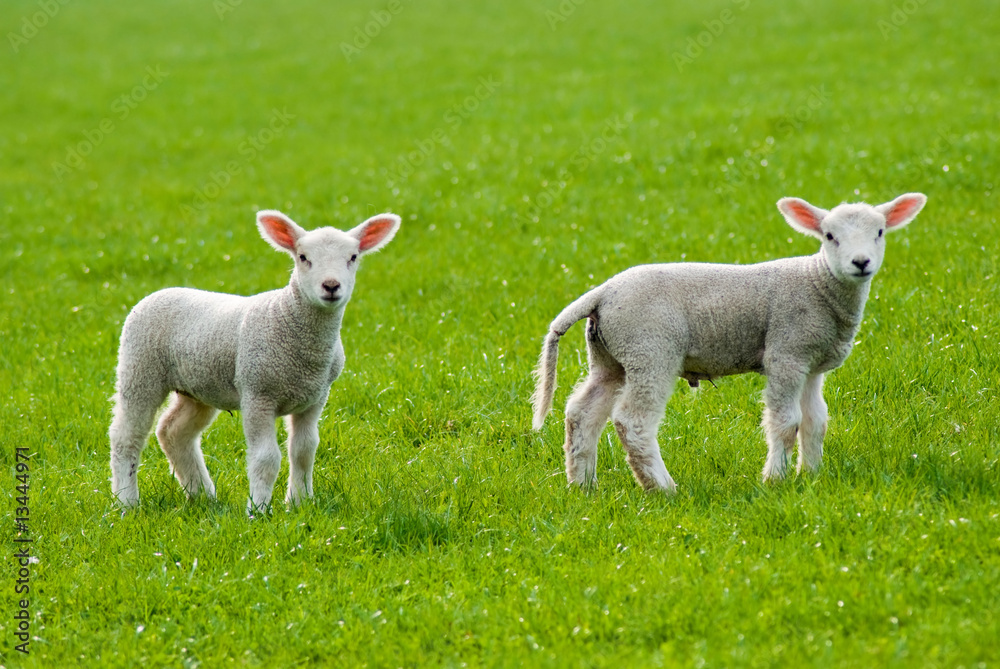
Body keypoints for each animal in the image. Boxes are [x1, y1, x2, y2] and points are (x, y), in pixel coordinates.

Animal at [109, 209, 401, 513]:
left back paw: (203, 495)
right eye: (303, 257)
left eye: (353, 257)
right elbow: (266, 457)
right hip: (140, 370)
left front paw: (300, 502)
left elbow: (304, 450)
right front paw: (259, 509)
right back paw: (126, 502)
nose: (331, 286)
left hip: (197, 387)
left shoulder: (315, 397)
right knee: (126, 437)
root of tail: (159, 293)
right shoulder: (258, 393)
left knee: (174, 432)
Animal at [531, 193, 926, 492]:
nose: (861, 262)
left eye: (880, 231)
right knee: (633, 422)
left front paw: (811, 476)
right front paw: (775, 480)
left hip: (611, 356)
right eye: (829, 236)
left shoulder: (812, 363)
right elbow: (787, 421)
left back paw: (583, 485)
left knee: (582, 414)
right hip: (650, 350)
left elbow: (816, 421)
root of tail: (602, 293)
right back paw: (663, 488)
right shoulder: (786, 352)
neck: (818, 283)